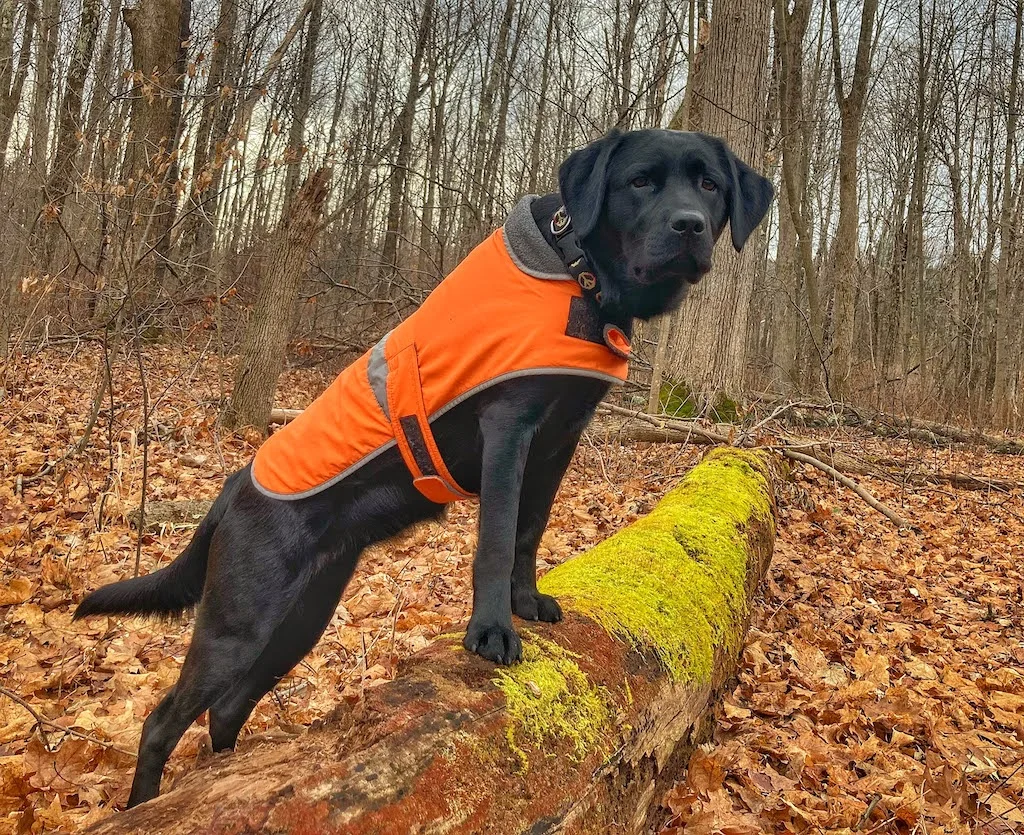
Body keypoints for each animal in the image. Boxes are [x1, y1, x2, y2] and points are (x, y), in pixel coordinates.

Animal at [74, 129, 770, 803]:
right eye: (641, 181)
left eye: (709, 185)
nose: (689, 225)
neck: (578, 275)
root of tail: (232, 488)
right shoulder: (508, 428)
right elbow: (495, 539)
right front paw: (491, 632)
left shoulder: (559, 442)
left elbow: (528, 532)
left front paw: (526, 603)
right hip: (239, 620)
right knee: (162, 721)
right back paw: (143, 806)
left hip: (301, 618)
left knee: (227, 709)